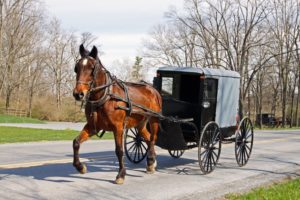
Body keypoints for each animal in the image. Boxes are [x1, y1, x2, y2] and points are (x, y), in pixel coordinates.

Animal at [72, 44, 162, 185]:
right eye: (76, 68)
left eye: (92, 68)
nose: (78, 94)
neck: (106, 97)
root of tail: (152, 89)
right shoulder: (92, 126)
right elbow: (76, 142)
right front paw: (80, 167)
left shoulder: (118, 127)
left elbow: (119, 151)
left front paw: (121, 175)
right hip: (140, 123)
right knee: (147, 138)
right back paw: (151, 163)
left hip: (154, 119)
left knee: (153, 138)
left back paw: (151, 160)